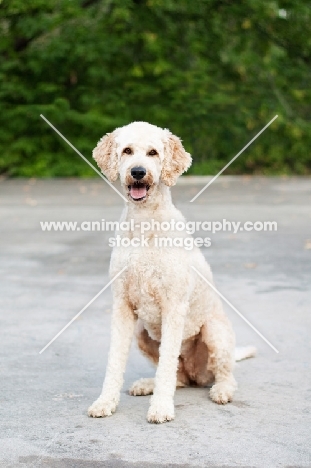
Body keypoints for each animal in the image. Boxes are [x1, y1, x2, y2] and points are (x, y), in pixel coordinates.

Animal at [88, 120, 256, 424]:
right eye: (127, 151)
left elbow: (167, 363)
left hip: (214, 331)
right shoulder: (122, 305)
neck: (145, 225)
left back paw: (221, 390)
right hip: (142, 333)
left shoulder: (173, 306)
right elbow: (115, 360)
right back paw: (148, 384)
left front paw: (161, 408)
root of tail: (196, 374)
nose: (138, 172)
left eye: (153, 153)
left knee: (222, 374)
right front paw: (105, 402)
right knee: (179, 377)